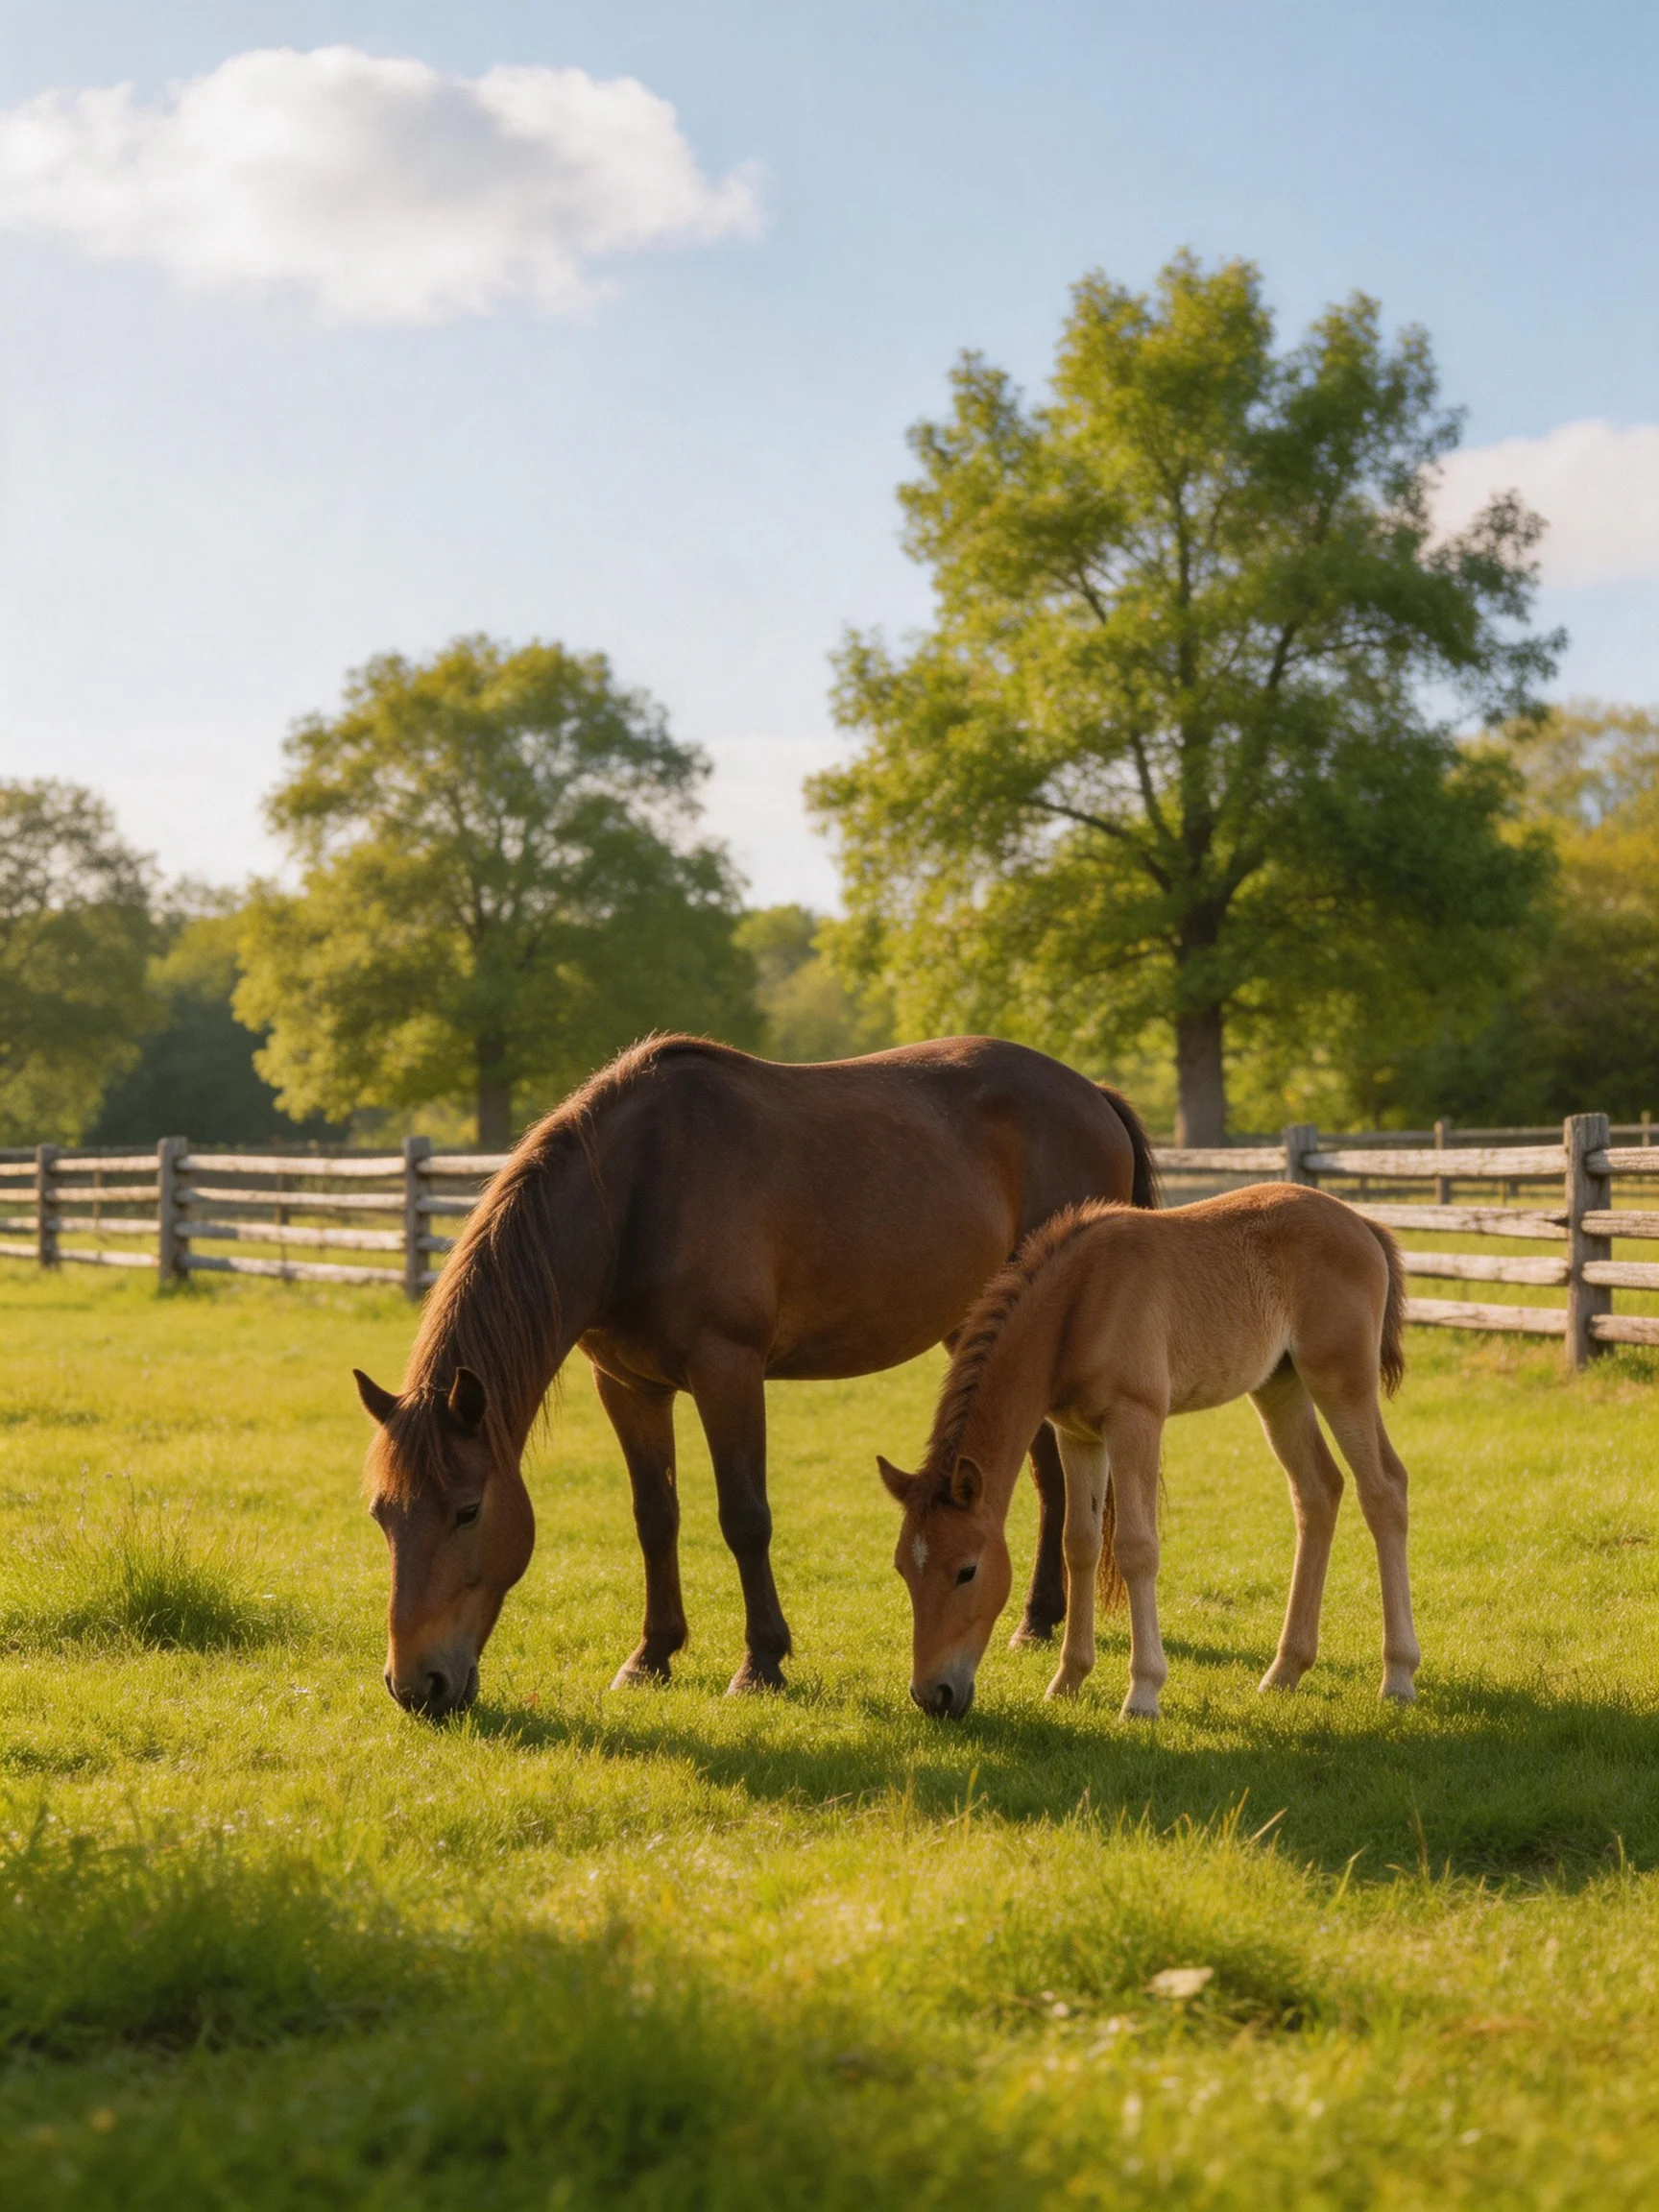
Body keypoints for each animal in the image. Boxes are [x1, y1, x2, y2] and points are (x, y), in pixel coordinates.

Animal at [353, 1034, 1158, 1716]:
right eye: (382, 1515)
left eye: (466, 1511)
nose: (415, 1686)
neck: (637, 1190)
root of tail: (1092, 1093)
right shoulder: (628, 1385)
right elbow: (655, 1516)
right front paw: (651, 1655)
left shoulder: (728, 1369)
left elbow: (744, 1517)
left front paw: (761, 1662)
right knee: (1046, 1479)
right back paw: (1040, 1620)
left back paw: (1038, 1624)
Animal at [878, 1181, 1417, 1720]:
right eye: (903, 1567)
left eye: (966, 1571)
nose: (933, 1696)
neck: (1081, 1303)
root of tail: (1362, 1223)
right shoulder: (1077, 1435)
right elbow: (1080, 1544)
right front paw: (1067, 1680)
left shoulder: (1135, 1420)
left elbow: (1136, 1548)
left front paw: (1142, 1693)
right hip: (1278, 1386)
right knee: (1317, 1490)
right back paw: (1285, 1670)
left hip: (1340, 1378)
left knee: (1384, 1489)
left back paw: (1398, 1675)